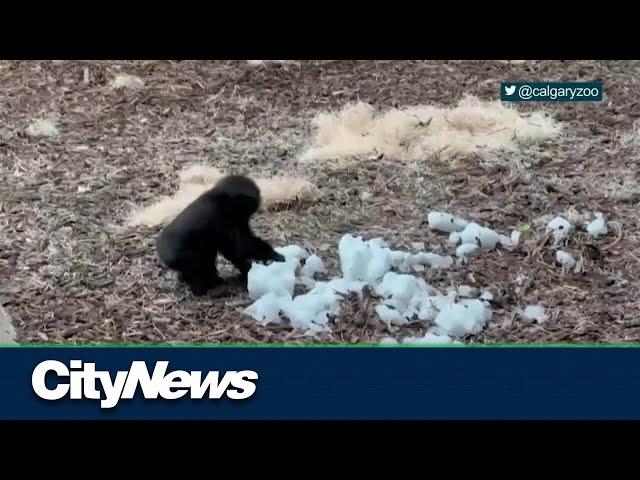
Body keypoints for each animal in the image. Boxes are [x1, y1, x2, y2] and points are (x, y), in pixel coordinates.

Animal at [155, 175, 284, 294]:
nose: (259, 198)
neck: (220, 199)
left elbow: (235, 249)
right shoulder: (220, 219)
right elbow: (238, 246)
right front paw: (273, 255)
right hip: (184, 257)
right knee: (200, 265)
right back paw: (204, 286)